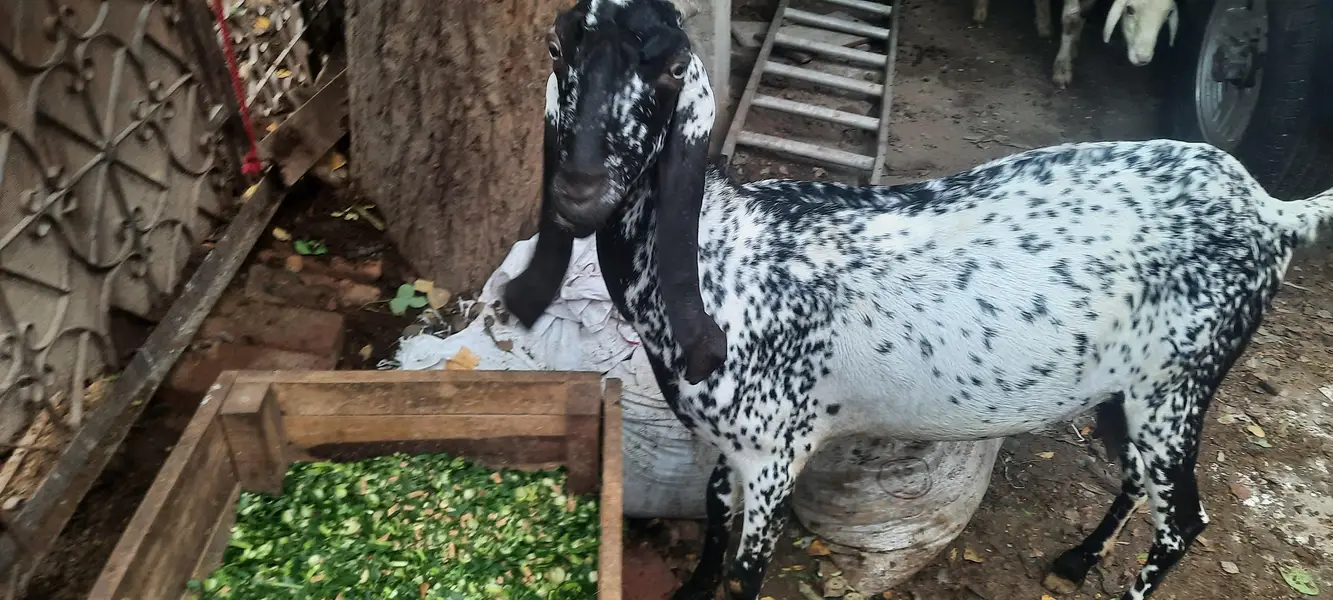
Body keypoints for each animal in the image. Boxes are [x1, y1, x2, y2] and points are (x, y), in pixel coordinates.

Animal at [502, 1, 1333, 599]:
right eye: (556, 48)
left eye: (674, 66)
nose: (578, 191)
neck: (721, 256)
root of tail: (1270, 212)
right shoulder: (737, 443)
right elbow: (709, 513)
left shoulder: (776, 449)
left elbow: (745, 571)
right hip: (1139, 388)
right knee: (1135, 477)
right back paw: (1073, 560)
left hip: (1180, 379)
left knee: (1183, 522)